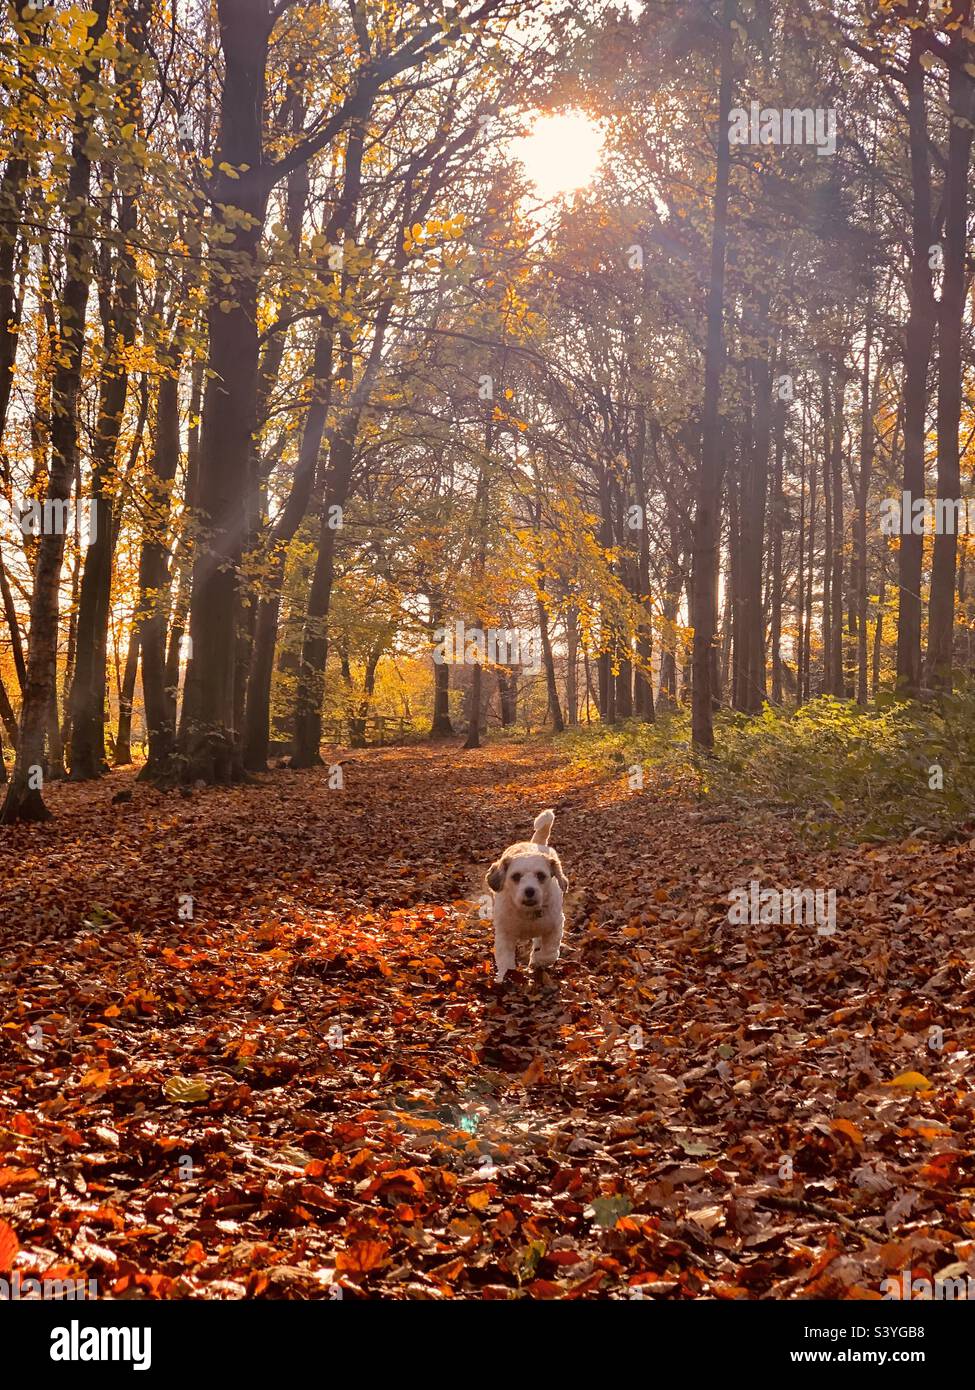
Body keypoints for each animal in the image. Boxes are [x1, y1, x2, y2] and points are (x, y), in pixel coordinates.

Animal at [484, 811, 567, 984]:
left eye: (541, 875)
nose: (529, 891)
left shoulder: (555, 926)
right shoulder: (505, 934)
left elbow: (549, 952)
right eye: (515, 876)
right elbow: (505, 959)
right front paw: (505, 977)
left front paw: (538, 960)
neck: (527, 915)